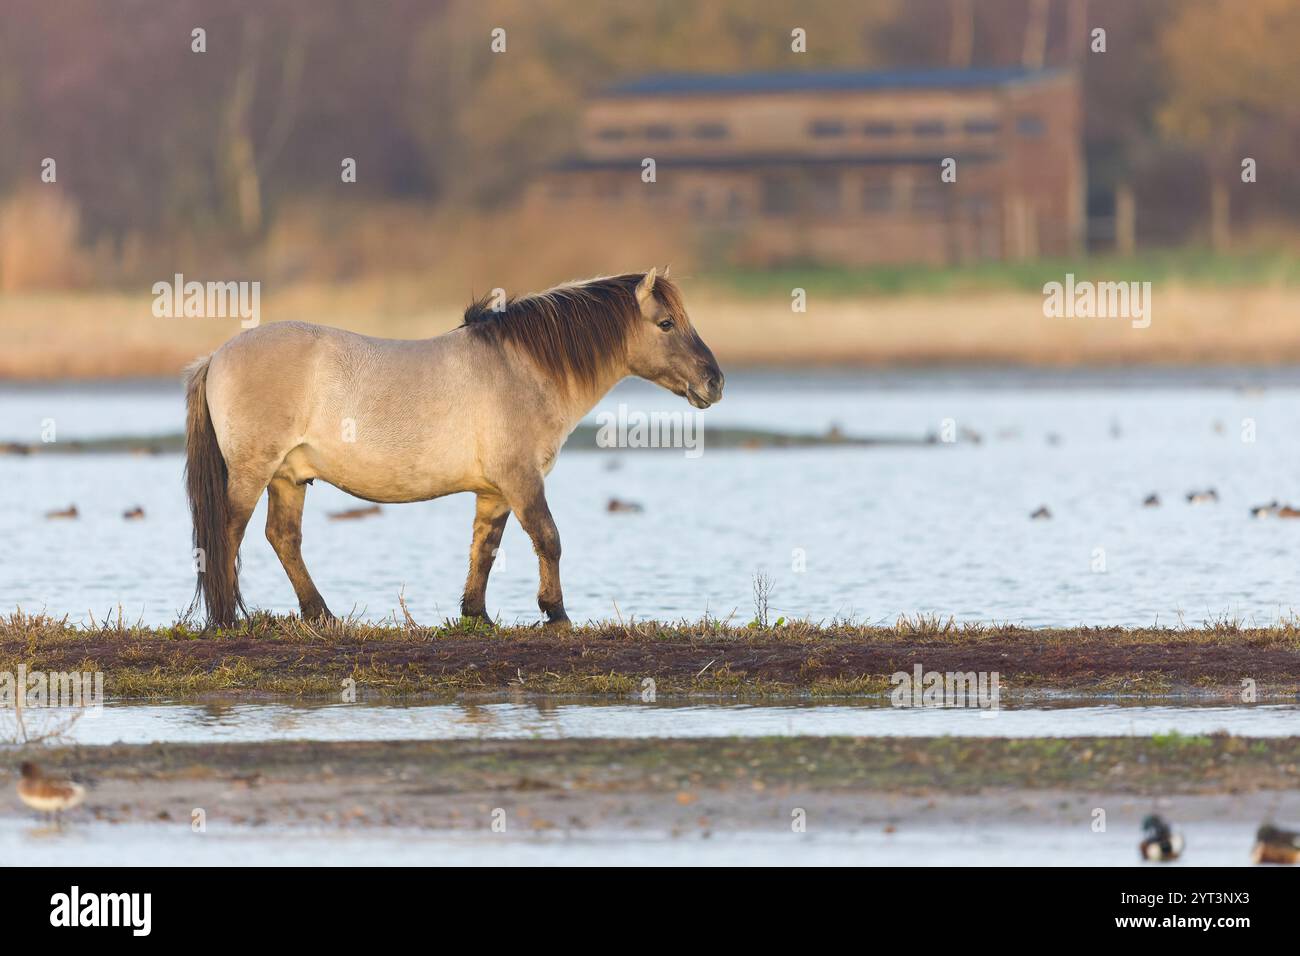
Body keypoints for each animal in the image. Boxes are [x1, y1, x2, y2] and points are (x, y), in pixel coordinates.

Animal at [184, 268, 724, 629]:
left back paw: (322, 614)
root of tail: (217, 356)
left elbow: (485, 547)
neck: (521, 367)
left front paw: (477, 615)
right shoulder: (522, 479)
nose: (715, 382)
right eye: (666, 323)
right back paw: (229, 618)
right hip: (253, 471)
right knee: (228, 533)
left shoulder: (495, 491)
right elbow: (548, 538)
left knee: (283, 538)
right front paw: (556, 613)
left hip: (289, 476)